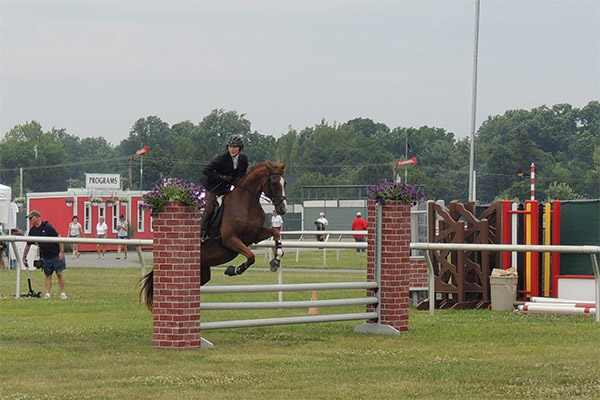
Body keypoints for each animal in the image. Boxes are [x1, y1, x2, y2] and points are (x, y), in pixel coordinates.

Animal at [139, 161, 288, 308]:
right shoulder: (230, 239)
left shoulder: (255, 235)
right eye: (274, 182)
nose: (283, 209)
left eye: (284, 183)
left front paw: (275, 262)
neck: (245, 204)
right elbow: (251, 256)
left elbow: (275, 233)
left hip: (203, 270)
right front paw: (233, 270)